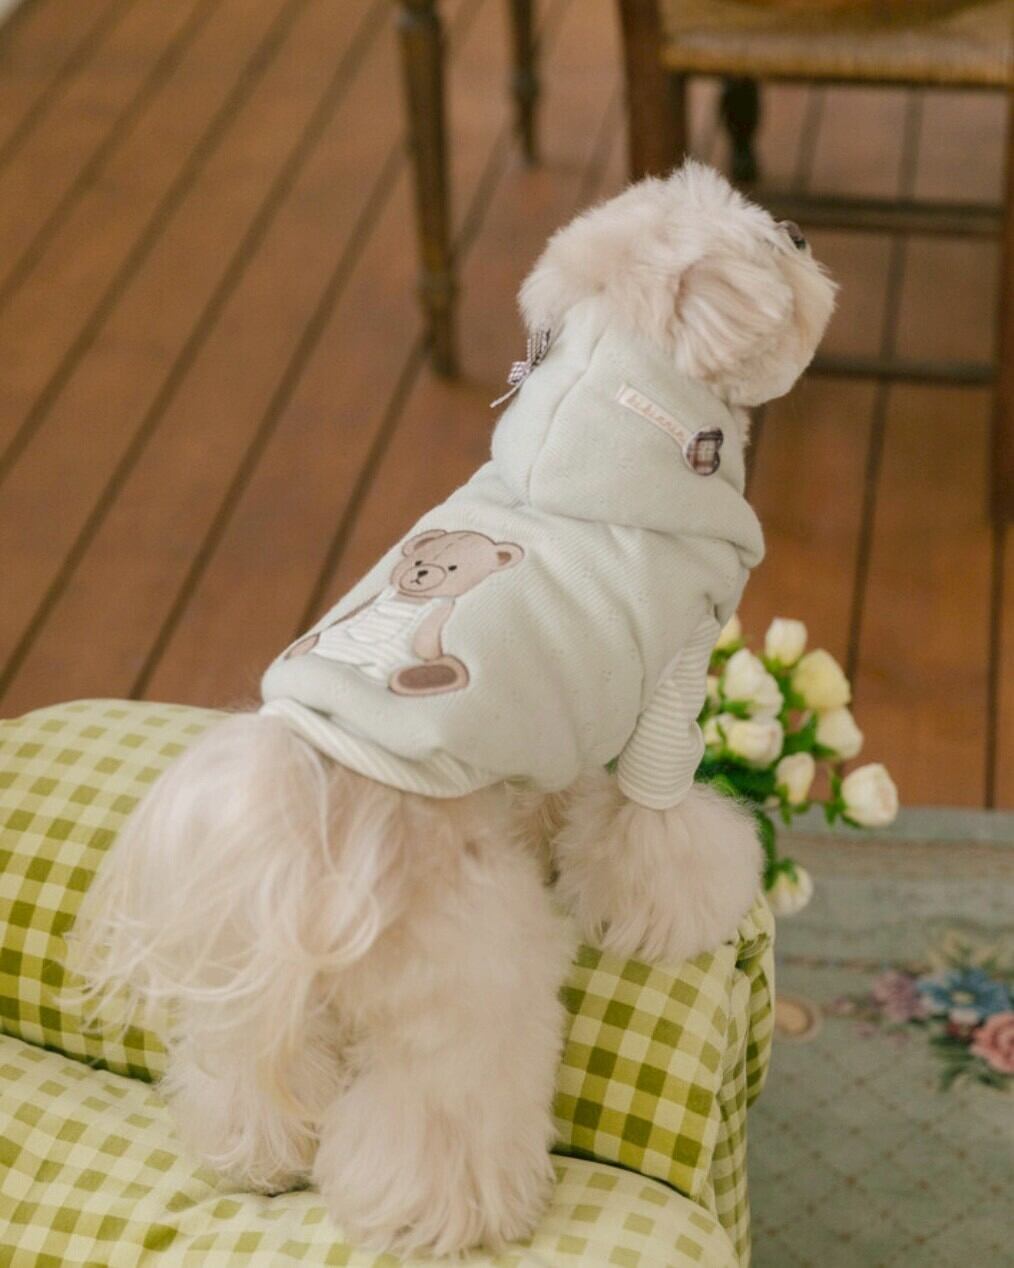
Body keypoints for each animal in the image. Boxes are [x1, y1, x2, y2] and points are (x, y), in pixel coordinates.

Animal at [285, 529, 524, 695]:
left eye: (453, 568)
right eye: (418, 560)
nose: (421, 571)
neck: (411, 598)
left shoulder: (440, 610)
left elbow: (428, 641)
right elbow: (355, 611)